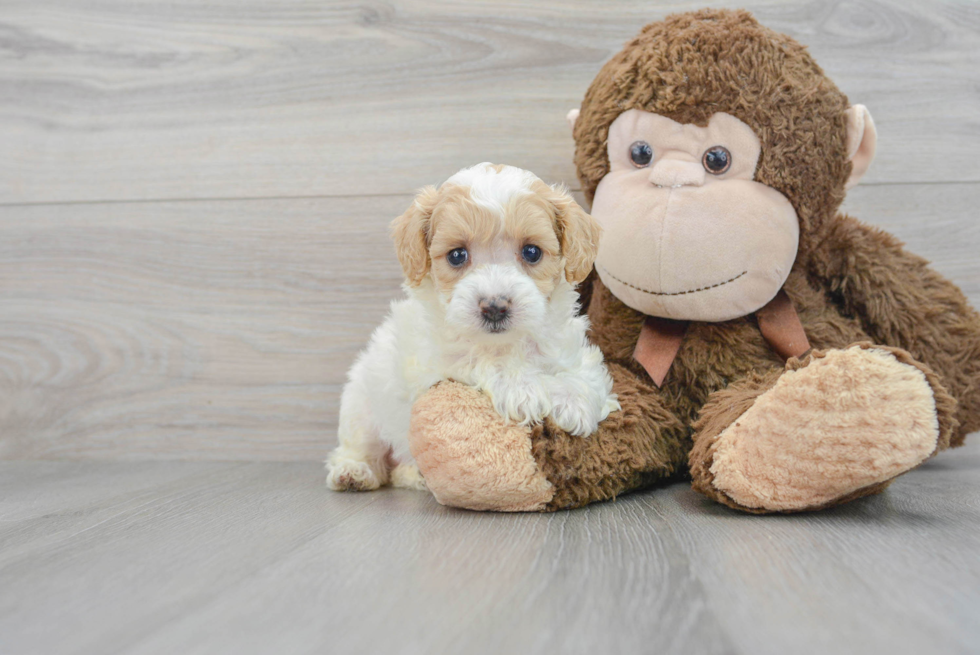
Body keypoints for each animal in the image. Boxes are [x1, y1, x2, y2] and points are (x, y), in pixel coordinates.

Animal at [330, 163, 620, 492]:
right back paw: (354, 471)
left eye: (532, 252)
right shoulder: (436, 360)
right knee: (361, 448)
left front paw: (574, 400)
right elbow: (481, 359)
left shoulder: (569, 349)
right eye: (457, 255)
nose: (494, 307)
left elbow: (585, 374)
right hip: (360, 405)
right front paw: (522, 390)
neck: (507, 343)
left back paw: (412, 474)